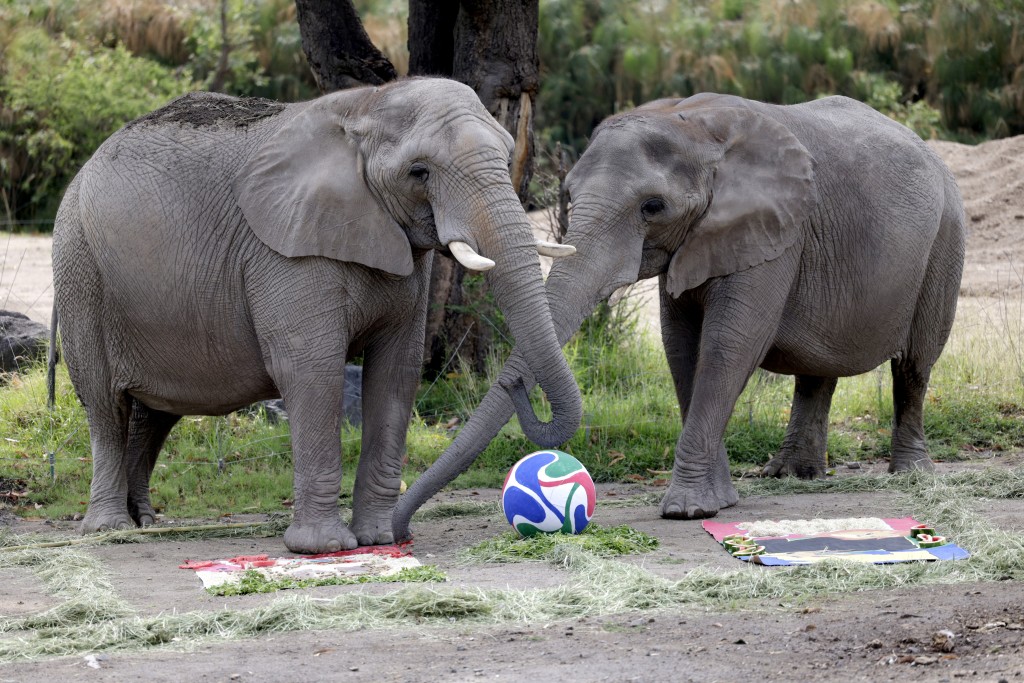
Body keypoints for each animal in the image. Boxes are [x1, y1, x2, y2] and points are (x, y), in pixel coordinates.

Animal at [50, 77, 582, 554]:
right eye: (419, 173)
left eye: (507, 154)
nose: (513, 384)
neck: (366, 104)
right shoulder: (284, 248)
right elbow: (311, 368)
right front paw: (324, 548)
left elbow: (396, 370)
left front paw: (377, 539)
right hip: (80, 268)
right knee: (105, 403)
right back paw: (109, 530)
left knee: (156, 413)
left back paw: (145, 522)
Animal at [393, 92, 965, 539]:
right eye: (568, 196)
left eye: (653, 207)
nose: (514, 383)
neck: (693, 124)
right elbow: (681, 345)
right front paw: (719, 502)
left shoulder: (776, 231)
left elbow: (729, 344)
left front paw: (688, 510)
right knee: (817, 372)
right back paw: (790, 476)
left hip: (946, 237)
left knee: (915, 364)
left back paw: (911, 474)